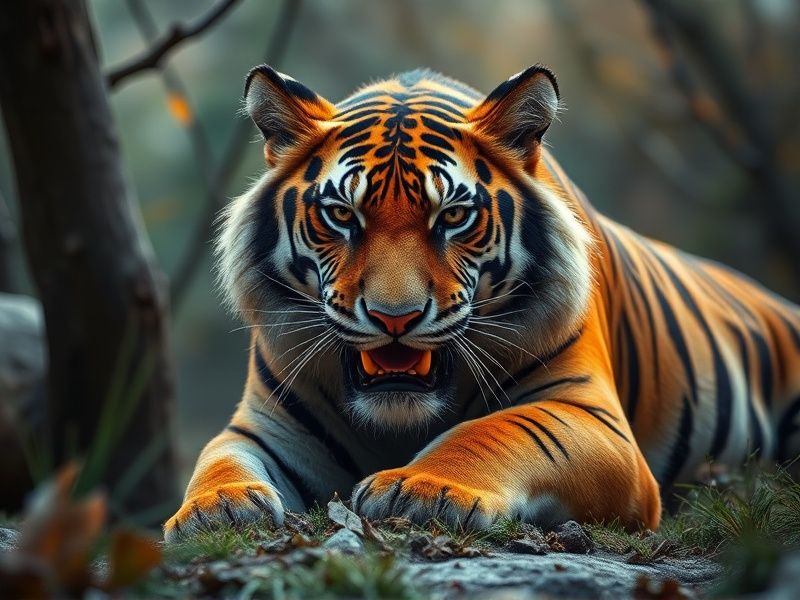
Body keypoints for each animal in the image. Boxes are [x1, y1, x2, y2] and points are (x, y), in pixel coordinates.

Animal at [163, 64, 800, 542]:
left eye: (453, 217)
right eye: (342, 215)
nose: (395, 318)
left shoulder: (591, 416)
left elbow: (496, 430)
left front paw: (419, 489)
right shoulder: (266, 423)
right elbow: (219, 456)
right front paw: (215, 508)